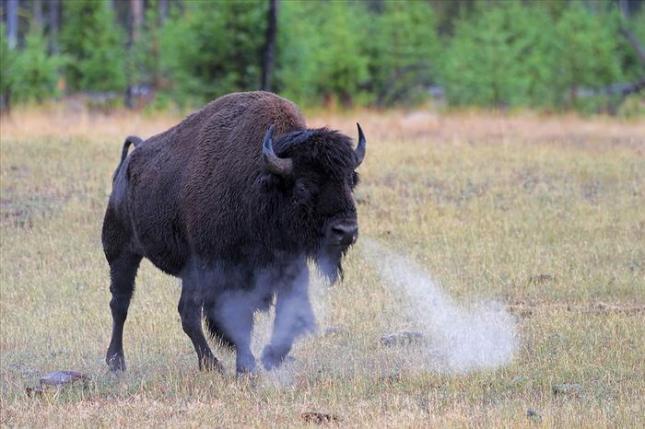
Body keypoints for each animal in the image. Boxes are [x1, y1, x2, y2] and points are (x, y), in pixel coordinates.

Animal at [102, 91, 366, 374]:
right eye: (304, 186)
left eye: (350, 180)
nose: (345, 231)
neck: (262, 183)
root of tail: (126, 166)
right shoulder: (229, 272)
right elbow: (239, 317)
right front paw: (247, 367)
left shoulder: (289, 265)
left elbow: (288, 310)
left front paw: (271, 357)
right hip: (122, 253)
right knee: (122, 304)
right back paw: (119, 362)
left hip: (188, 271)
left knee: (185, 312)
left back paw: (209, 364)